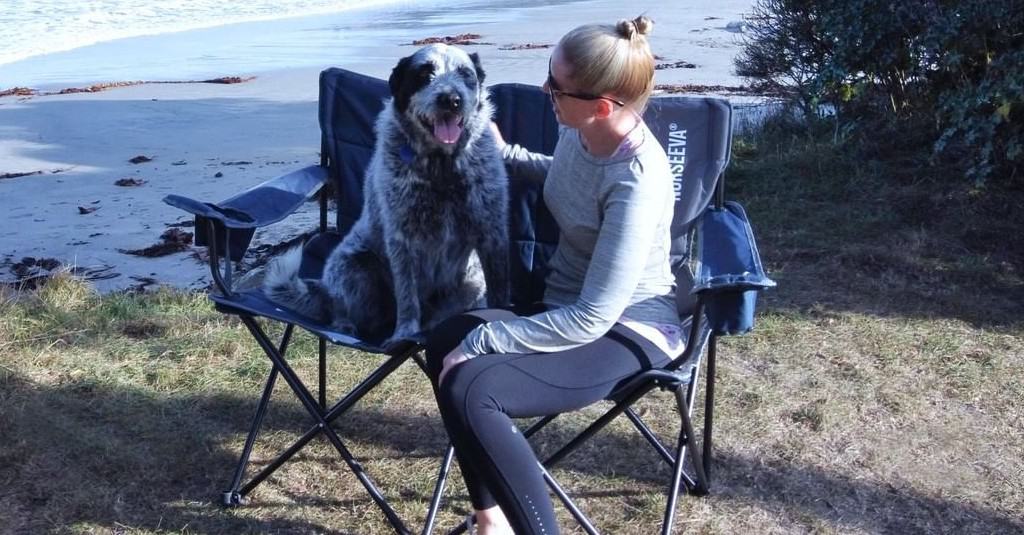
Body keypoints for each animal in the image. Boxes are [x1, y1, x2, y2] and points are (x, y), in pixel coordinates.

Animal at [262, 44, 505, 342]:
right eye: (424, 74)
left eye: (465, 73)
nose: (451, 99)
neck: (440, 166)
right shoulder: (402, 239)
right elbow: (407, 297)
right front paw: (404, 333)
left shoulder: (490, 234)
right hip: (354, 267)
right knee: (341, 308)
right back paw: (346, 325)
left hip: (471, 282)